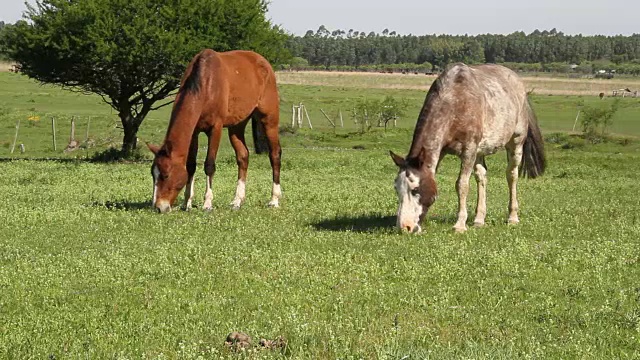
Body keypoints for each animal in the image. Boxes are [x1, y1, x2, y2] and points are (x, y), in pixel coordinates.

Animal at [150, 50, 282, 214]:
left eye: (166, 175)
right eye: (153, 174)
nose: (158, 207)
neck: (206, 83)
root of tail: (263, 62)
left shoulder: (215, 129)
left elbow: (209, 165)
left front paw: (207, 203)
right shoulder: (194, 132)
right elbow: (191, 165)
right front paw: (187, 203)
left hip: (269, 120)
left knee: (274, 154)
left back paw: (274, 199)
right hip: (237, 126)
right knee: (243, 156)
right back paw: (237, 201)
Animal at [390, 62, 544, 233]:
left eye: (415, 189)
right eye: (396, 188)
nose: (405, 227)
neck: (455, 100)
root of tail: (519, 85)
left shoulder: (468, 150)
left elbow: (462, 185)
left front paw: (460, 225)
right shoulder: (443, 151)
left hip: (515, 143)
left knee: (512, 175)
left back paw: (512, 217)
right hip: (480, 151)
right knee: (482, 177)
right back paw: (479, 220)